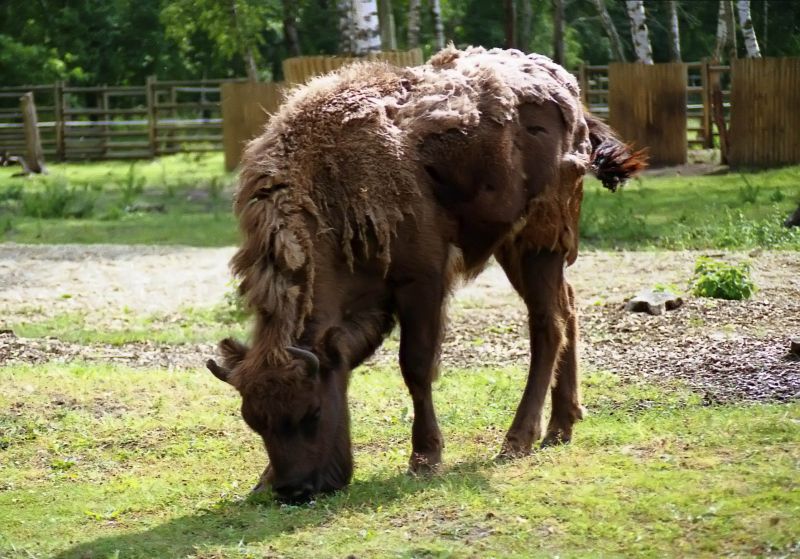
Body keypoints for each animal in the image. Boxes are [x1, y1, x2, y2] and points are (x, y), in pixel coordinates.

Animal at [206, 47, 644, 504]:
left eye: (312, 412)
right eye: (255, 421)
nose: (295, 490)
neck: (328, 185)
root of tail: (565, 87)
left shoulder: (421, 281)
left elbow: (415, 366)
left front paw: (424, 459)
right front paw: (262, 479)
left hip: (538, 241)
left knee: (548, 325)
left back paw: (517, 440)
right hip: (512, 246)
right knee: (568, 307)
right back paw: (561, 426)